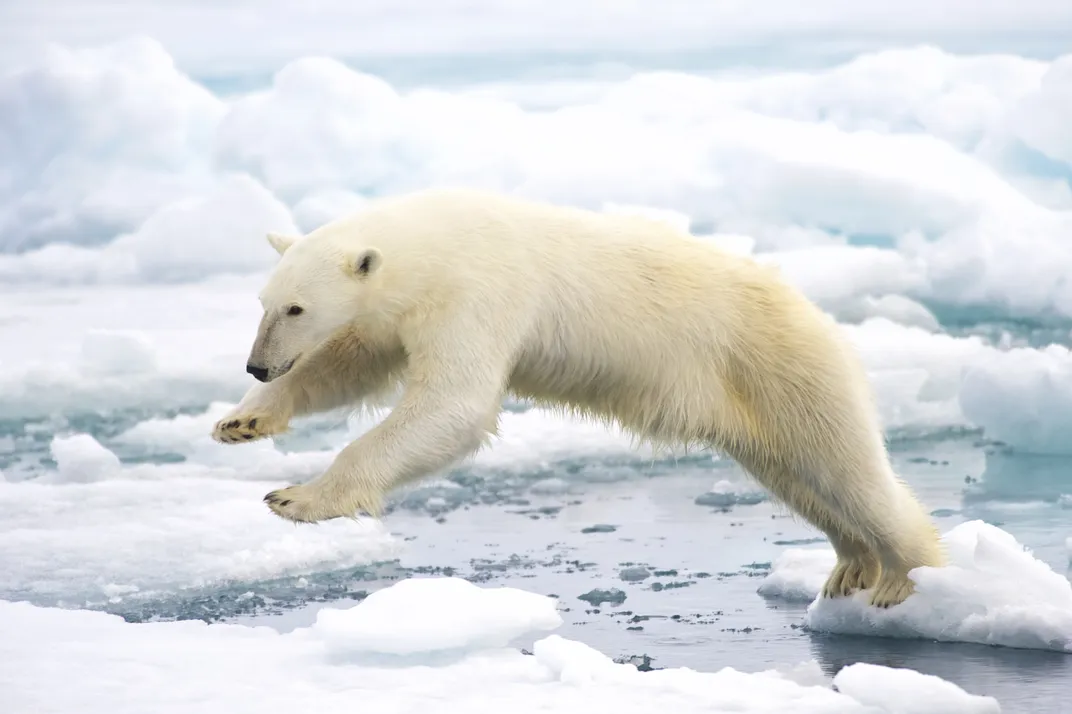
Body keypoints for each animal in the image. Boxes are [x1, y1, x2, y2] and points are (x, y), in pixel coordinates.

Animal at [213, 187, 943, 604]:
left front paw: (297, 497)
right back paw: (851, 565)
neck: (435, 241)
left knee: (846, 469)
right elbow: (351, 363)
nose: (256, 365)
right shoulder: (400, 313)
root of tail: (817, 316)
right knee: (798, 478)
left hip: (781, 367)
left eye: (297, 308)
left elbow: (453, 404)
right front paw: (242, 421)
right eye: (264, 302)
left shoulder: (479, 292)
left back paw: (903, 577)